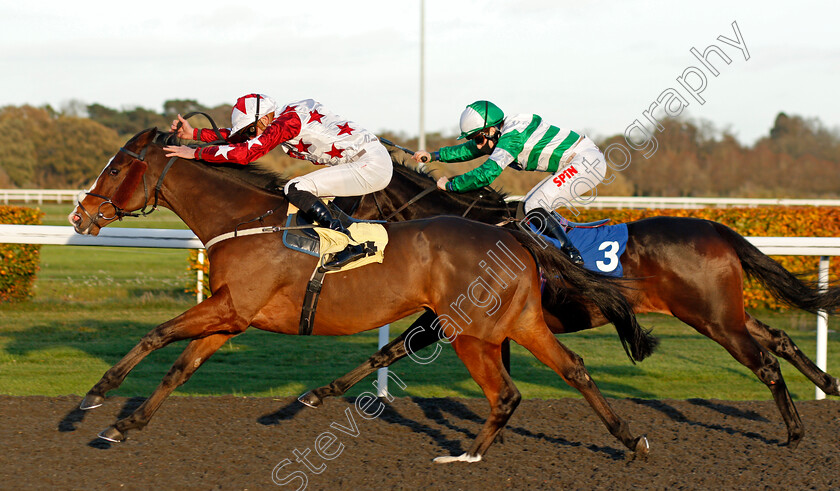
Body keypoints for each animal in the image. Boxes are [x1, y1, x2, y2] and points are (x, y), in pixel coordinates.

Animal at [67, 129, 656, 464]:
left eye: (115, 167)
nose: (81, 215)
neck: (246, 219)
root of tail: (513, 236)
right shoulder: (231, 316)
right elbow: (179, 367)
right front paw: (124, 425)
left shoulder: (232, 307)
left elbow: (156, 335)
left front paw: (92, 399)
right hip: (519, 321)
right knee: (573, 368)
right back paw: (630, 441)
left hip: (472, 330)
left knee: (508, 391)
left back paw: (468, 456)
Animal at [306, 155, 840, 450]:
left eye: (348, 200)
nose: (325, 231)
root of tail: (716, 228)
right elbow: (396, 352)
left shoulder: (450, 315)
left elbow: (393, 349)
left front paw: (322, 392)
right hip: (727, 311)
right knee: (779, 338)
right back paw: (828, 384)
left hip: (713, 318)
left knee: (765, 362)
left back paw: (795, 433)